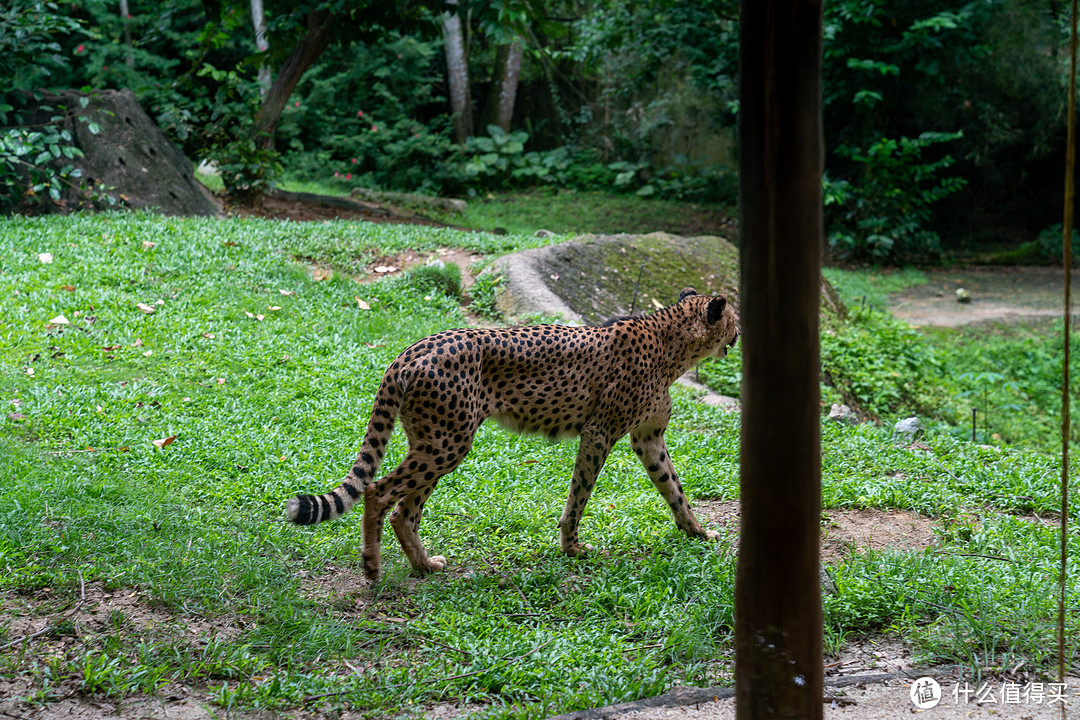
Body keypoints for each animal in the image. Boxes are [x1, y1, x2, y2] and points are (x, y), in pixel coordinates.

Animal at [287, 287, 738, 578]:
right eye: (734, 317)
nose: (737, 333)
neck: (673, 342)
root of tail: (414, 348)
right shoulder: (599, 432)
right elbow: (580, 494)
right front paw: (572, 547)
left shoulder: (648, 438)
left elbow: (675, 490)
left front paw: (698, 532)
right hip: (448, 443)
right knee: (379, 491)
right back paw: (372, 566)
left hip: (435, 441)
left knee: (404, 511)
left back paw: (424, 565)